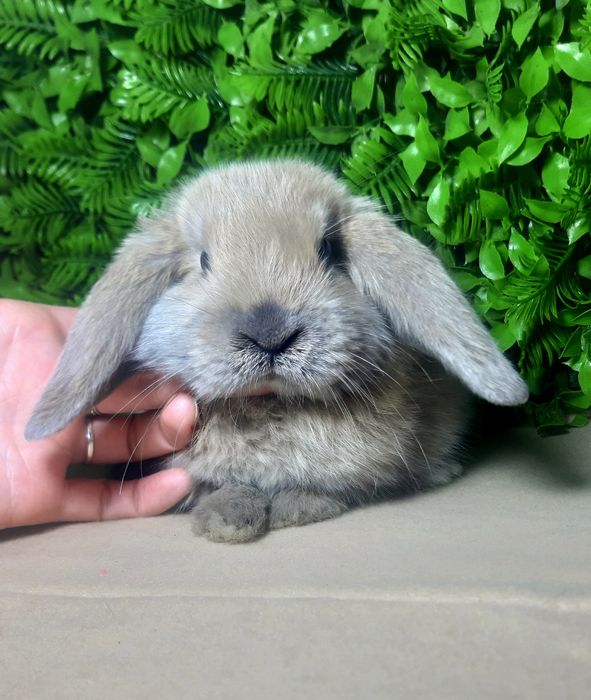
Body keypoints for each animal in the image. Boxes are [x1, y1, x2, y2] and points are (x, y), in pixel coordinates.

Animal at [25, 159, 529, 543]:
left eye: (328, 251)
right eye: (203, 261)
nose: (271, 332)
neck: (269, 408)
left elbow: (328, 489)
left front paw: (296, 508)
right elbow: (219, 488)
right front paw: (228, 520)